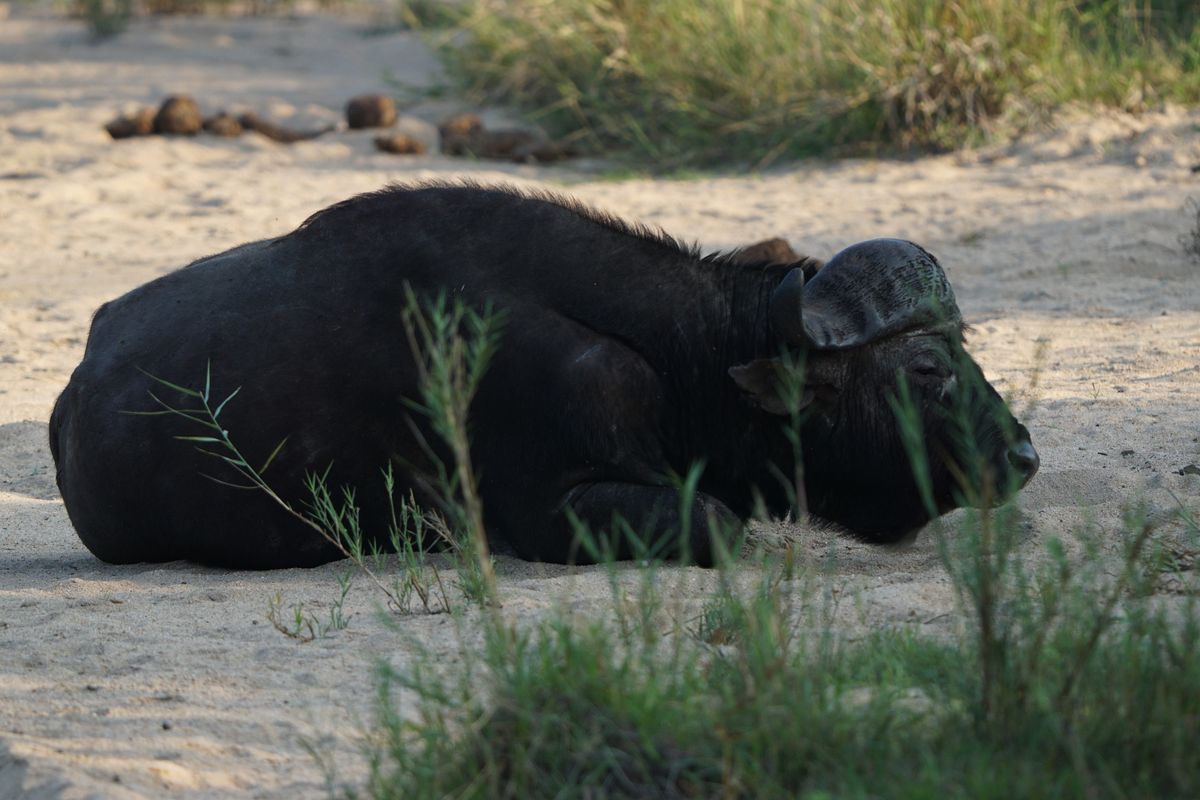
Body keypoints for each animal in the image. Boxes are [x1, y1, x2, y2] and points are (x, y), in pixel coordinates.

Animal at [49, 184, 1038, 568]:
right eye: (925, 365)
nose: (1024, 455)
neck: (674, 357)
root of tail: (74, 392)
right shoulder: (551, 508)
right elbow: (719, 524)